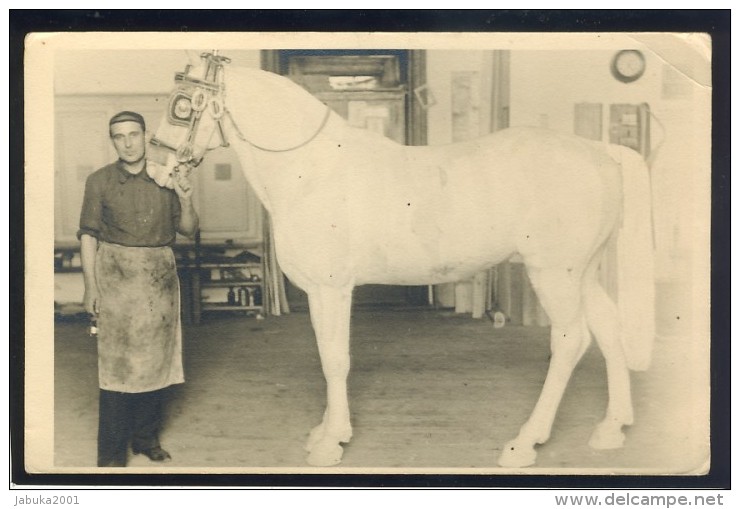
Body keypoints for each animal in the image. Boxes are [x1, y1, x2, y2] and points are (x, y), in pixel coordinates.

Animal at [149, 52, 652, 468]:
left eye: (181, 105)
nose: (155, 169)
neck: (311, 170)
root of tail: (601, 153)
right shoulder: (320, 292)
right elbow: (327, 354)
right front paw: (327, 432)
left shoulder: (332, 288)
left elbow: (335, 359)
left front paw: (330, 445)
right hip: (584, 273)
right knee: (608, 328)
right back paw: (611, 430)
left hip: (554, 274)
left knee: (571, 341)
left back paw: (524, 443)